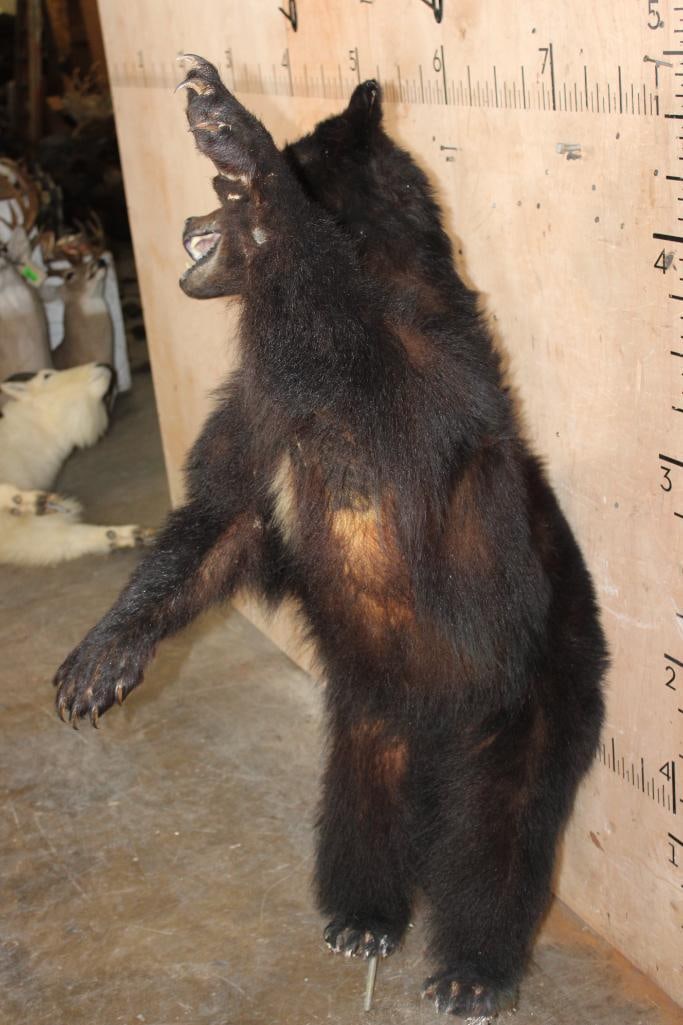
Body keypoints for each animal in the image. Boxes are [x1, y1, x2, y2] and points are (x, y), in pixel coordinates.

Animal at [54, 56, 608, 1018]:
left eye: (215, 197)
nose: (190, 224)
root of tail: (433, 729)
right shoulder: (257, 413)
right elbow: (221, 519)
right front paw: (100, 658)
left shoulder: (414, 390)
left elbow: (345, 335)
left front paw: (231, 131)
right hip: (368, 711)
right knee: (361, 806)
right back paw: (361, 916)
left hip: (530, 687)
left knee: (499, 831)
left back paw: (469, 968)